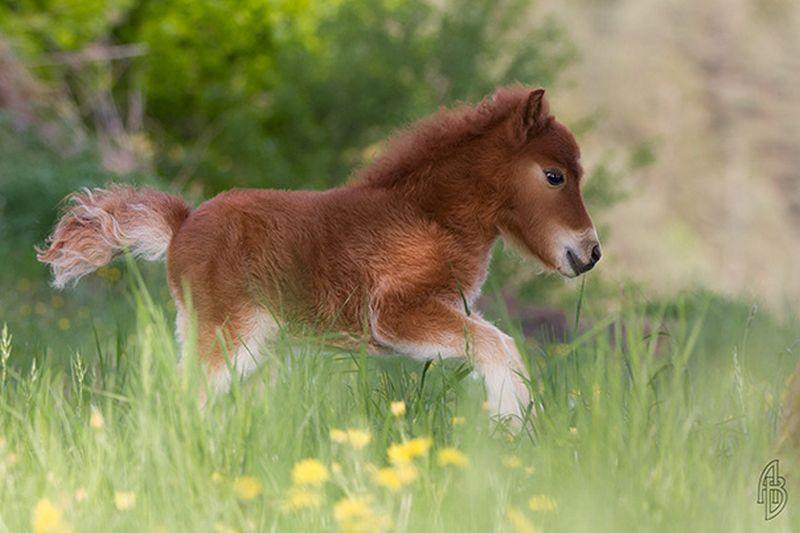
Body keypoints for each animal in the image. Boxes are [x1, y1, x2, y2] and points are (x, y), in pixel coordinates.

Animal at [37, 86, 600, 424]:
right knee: (186, 396)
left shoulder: (446, 307)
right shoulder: (395, 316)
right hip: (229, 335)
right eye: (554, 175)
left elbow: (500, 344)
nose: (590, 252)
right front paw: (512, 427)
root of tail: (182, 224)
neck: (428, 215)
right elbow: (498, 345)